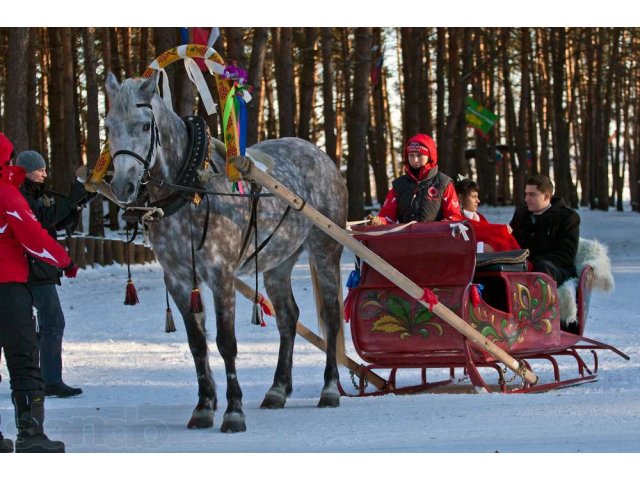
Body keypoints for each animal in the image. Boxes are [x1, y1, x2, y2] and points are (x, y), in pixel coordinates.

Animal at [105, 72, 348, 436]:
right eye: (108, 126)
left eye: (146, 125)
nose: (122, 187)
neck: (190, 188)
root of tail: (319, 154)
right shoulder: (179, 279)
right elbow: (197, 344)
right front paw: (204, 407)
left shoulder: (221, 274)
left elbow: (226, 343)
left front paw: (233, 412)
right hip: (279, 261)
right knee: (288, 317)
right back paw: (277, 389)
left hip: (325, 248)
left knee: (331, 316)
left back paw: (330, 388)